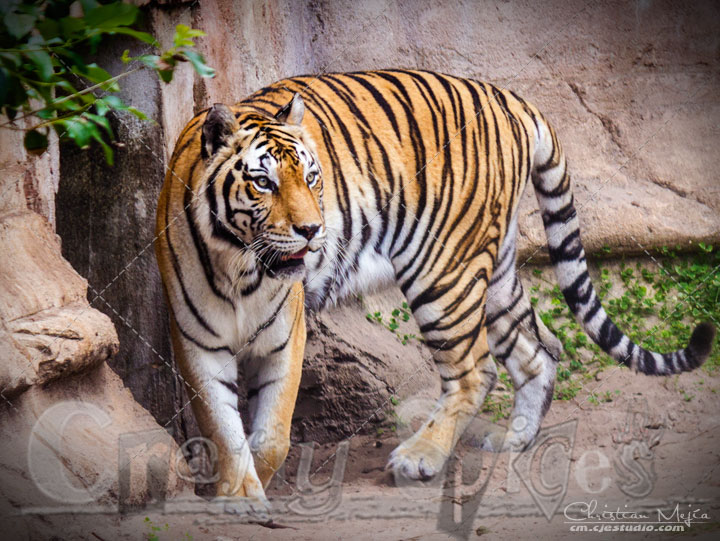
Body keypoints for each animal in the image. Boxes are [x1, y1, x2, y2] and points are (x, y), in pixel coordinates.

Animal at [155, 69, 715, 502]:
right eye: (263, 182)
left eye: (313, 177)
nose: (312, 230)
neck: (240, 265)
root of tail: (511, 98)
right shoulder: (196, 344)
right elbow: (223, 428)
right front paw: (238, 496)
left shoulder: (284, 337)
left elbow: (271, 434)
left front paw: (254, 491)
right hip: (495, 275)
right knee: (541, 349)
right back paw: (514, 442)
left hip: (445, 273)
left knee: (476, 371)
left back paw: (420, 457)